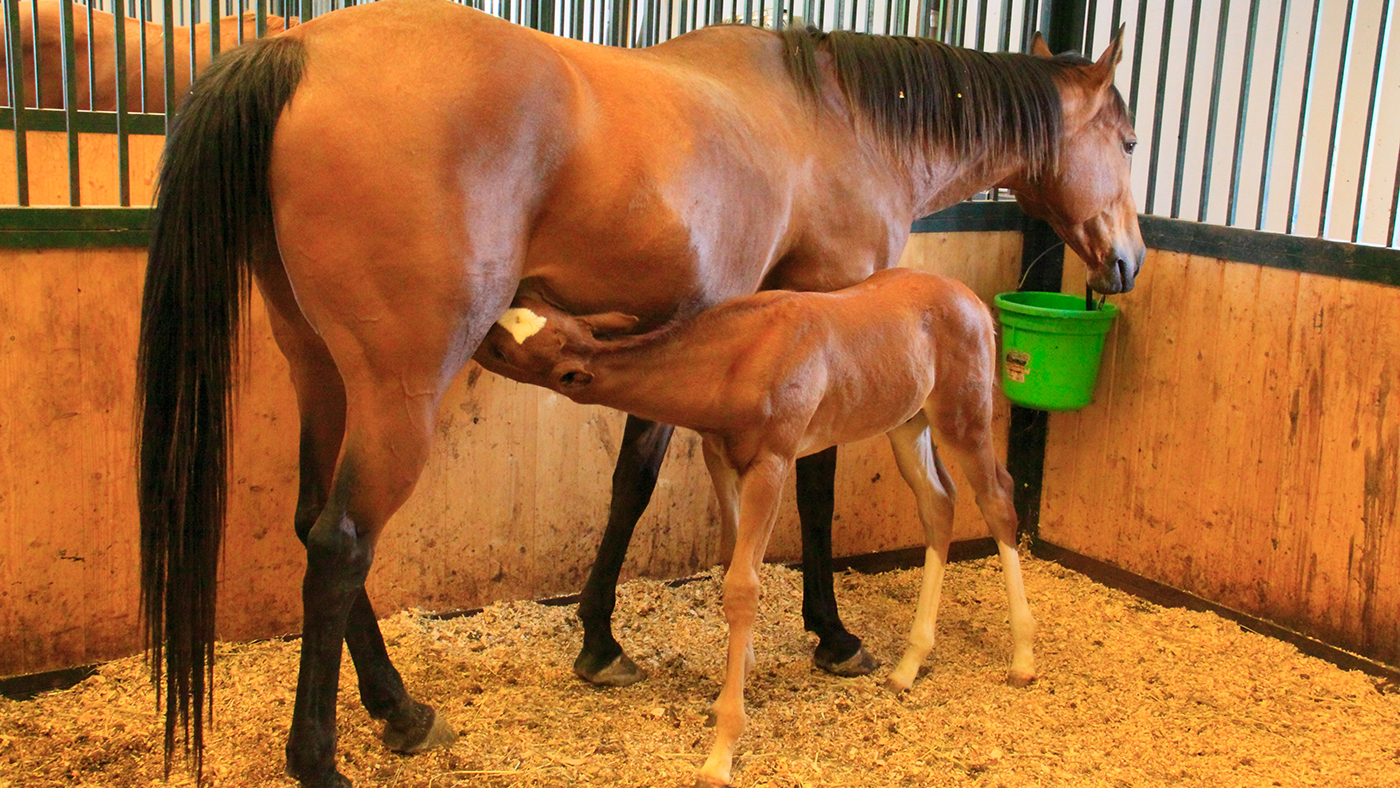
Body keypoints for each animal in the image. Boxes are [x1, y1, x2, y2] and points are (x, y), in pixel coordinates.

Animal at [477, 266, 1034, 785]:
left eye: (503, 349)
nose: (474, 336)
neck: (735, 359)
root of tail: (975, 304)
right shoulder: (720, 457)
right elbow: (731, 558)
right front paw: (732, 683)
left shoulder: (773, 462)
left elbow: (744, 587)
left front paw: (722, 748)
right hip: (907, 420)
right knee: (938, 503)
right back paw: (908, 666)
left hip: (962, 415)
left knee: (997, 498)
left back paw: (1023, 658)